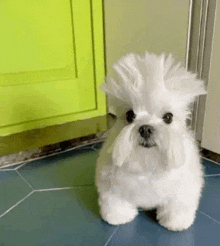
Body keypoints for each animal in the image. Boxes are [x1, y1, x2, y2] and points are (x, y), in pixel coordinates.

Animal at [95, 52, 206, 231]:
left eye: (168, 117)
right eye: (130, 115)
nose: (145, 128)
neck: (148, 164)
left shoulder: (183, 190)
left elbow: (177, 207)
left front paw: (176, 223)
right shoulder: (112, 188)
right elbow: (115, 203)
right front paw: (118, 218)